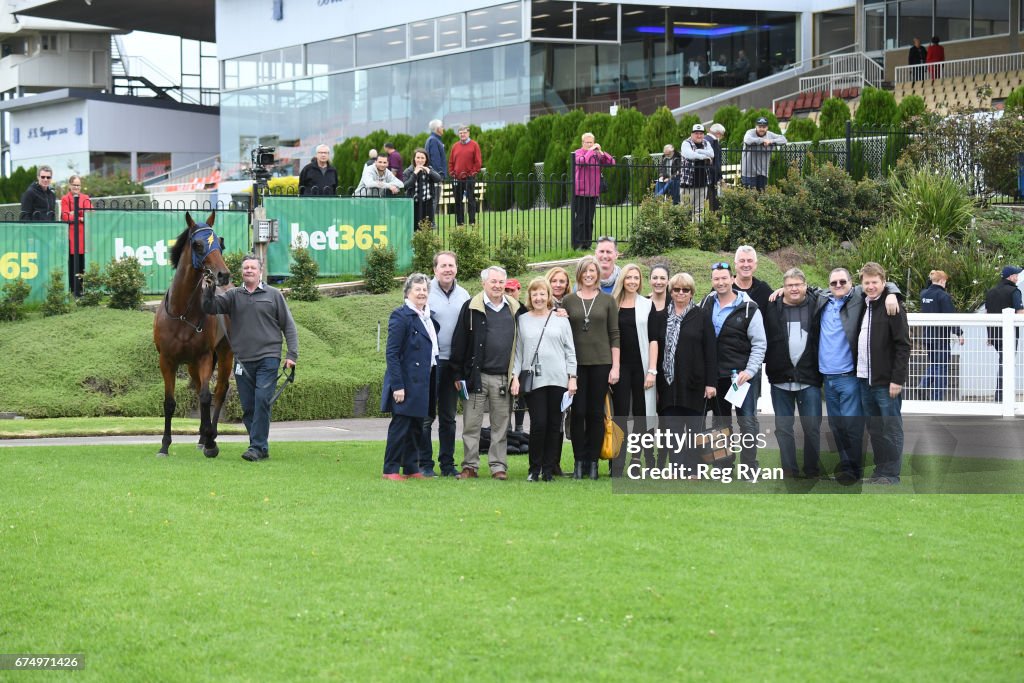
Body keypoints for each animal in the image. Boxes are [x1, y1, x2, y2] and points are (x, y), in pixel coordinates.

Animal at [151, 211, 234, 458]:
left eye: (220, 244)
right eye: (197, 244)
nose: (222, 274)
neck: (181, 314)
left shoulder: (204, 356)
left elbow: (207, 397)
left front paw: (211, 442)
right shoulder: (167, 360)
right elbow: (170, 402)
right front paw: (164, 445)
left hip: (224, 353)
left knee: (219, 391)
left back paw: (210, 434)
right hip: (190, 365)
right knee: (199, 388)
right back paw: (201, 436)